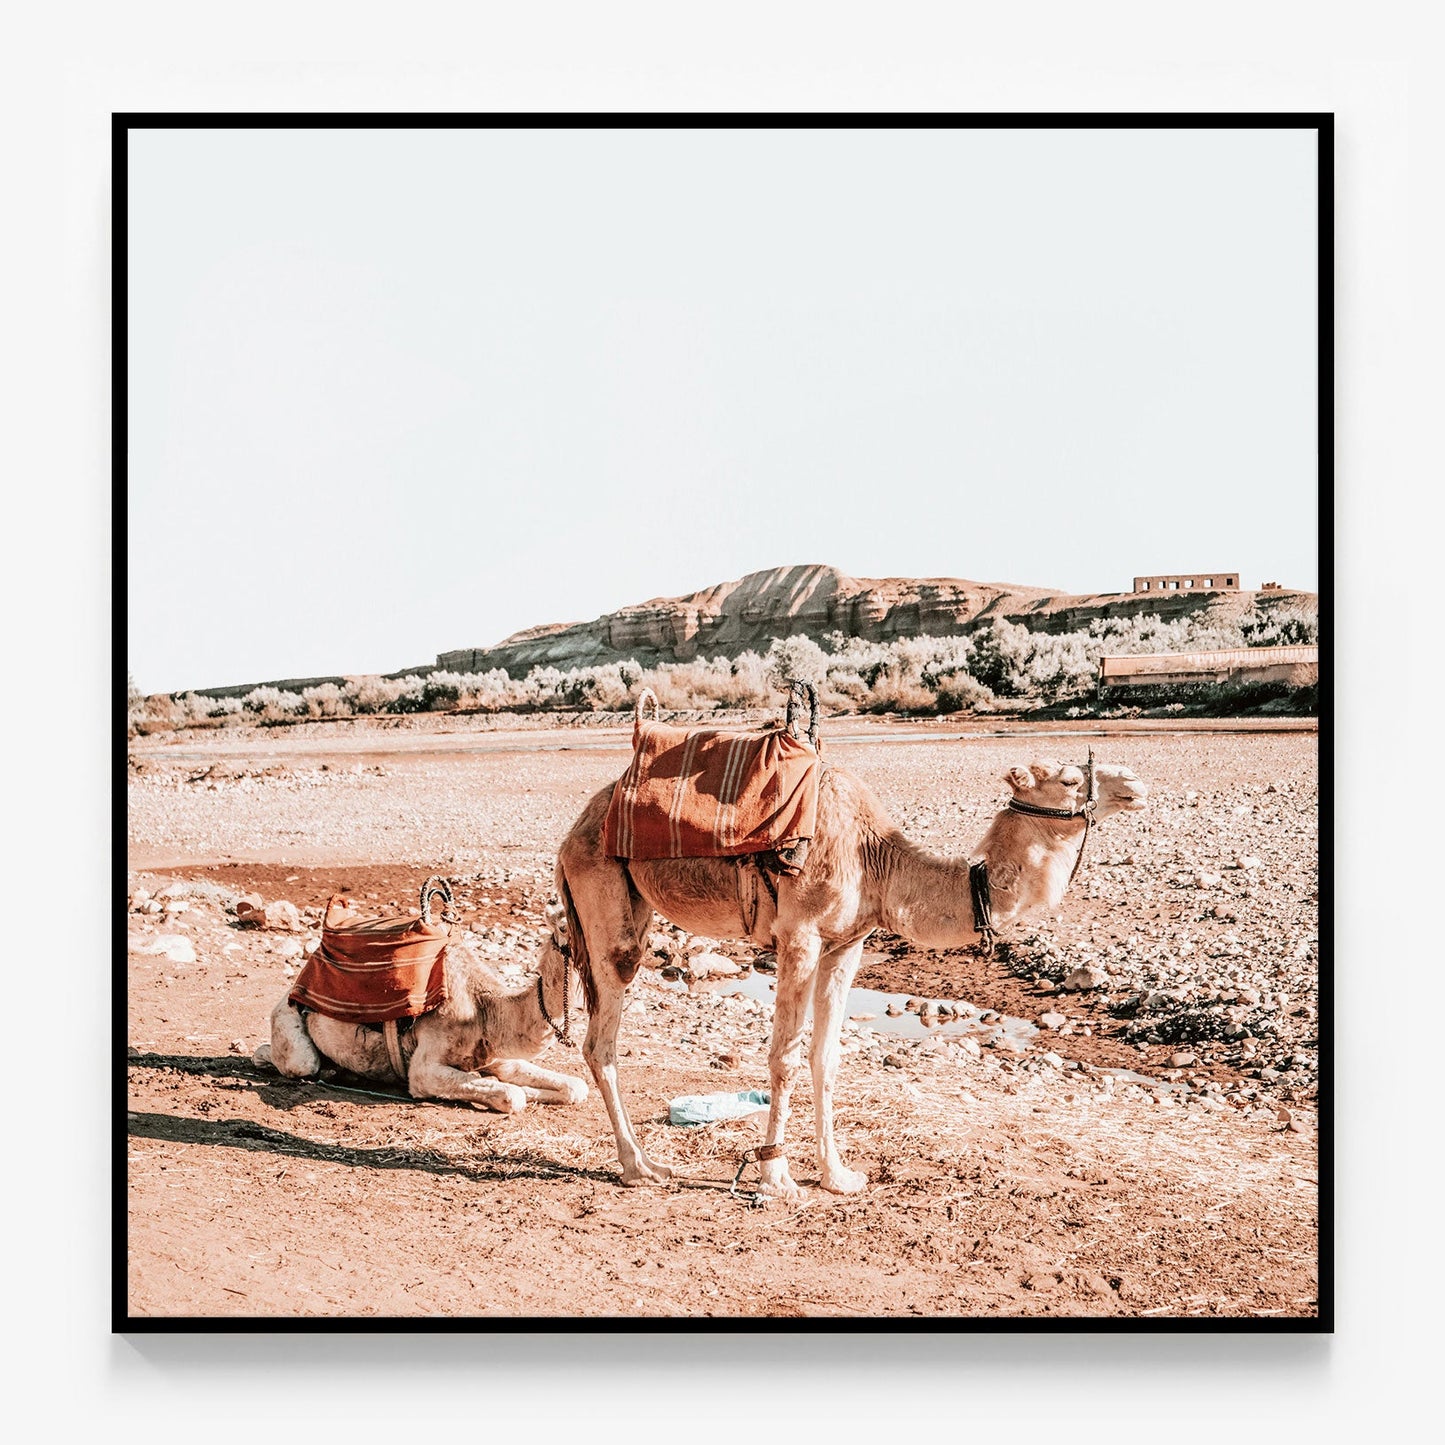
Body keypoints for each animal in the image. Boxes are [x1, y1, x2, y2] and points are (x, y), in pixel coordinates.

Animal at [258, 901, 590, 1112]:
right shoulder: (425, 1067)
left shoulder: (498, 1058)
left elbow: (576, 1087)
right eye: (563, 926)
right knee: (295, 1061)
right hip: (288, 1019)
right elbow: (511, 1095)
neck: (486, 1009)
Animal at [557, 750, 1147, 1199]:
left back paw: (643, 1163)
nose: (1135, 785)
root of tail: (574, 832)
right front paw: (776, 1178)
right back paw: (640, 1167)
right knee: (601, 1036)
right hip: (604, 895)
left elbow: (827, 1056)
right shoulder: (799, 936)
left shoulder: (846, 945)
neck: (878, 862)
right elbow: (785, 1057)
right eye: (1069, 779)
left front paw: (837, 1176)